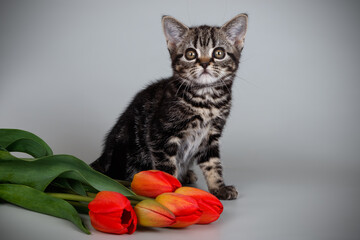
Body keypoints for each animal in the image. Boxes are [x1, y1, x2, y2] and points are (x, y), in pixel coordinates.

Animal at [90, 13, 248, 201]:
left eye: (219, 53)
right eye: (190, 54)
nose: (204, 63)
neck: (206, 100)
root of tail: (103, 160)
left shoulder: (211, 136)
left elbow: (213, 164)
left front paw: (219, 188)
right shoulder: (160, 136)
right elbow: (167, 169)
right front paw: (172, 193)